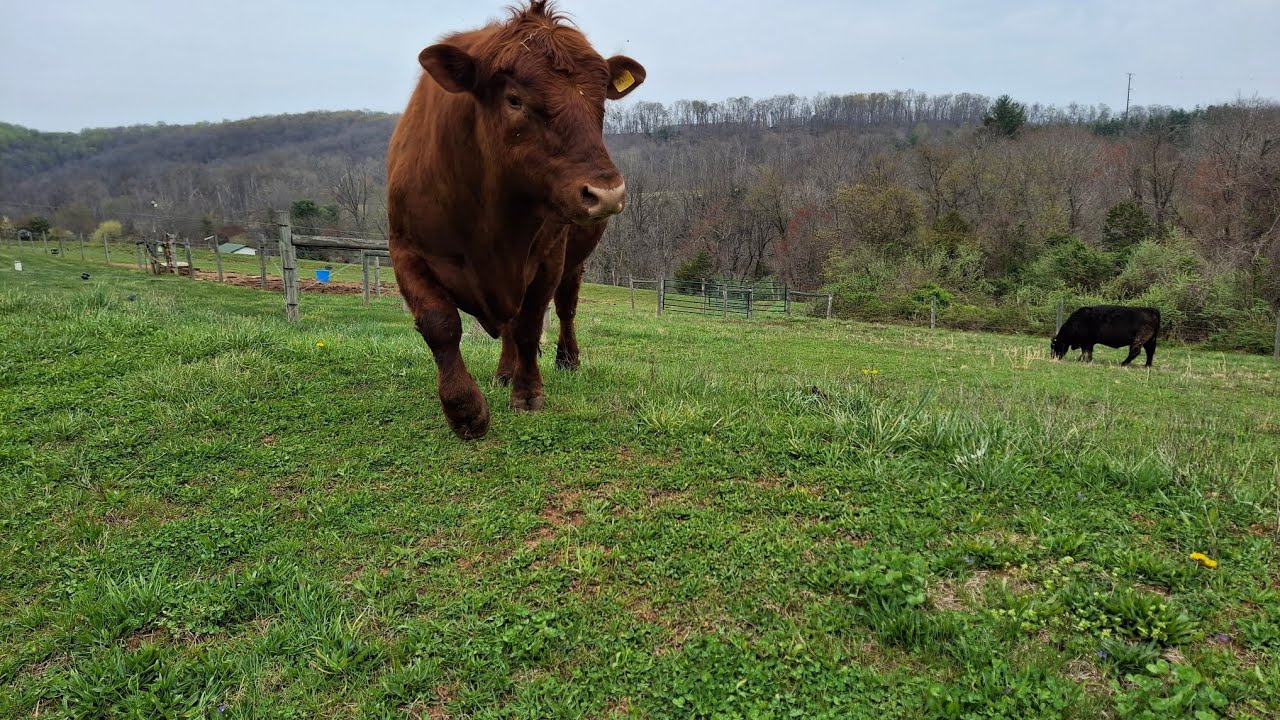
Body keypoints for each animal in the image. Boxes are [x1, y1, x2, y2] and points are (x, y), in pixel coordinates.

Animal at [386, 1, 645, 439]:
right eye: (514, 99)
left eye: (602, 101)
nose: (606, 192)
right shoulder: (405, 250)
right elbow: (440, 324)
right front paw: (464, 409)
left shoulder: (549, 258)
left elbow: (529, 325)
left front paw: (527, 394)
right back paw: (504, 372)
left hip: (574, 263)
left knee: (565, 310)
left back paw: (566, 359)